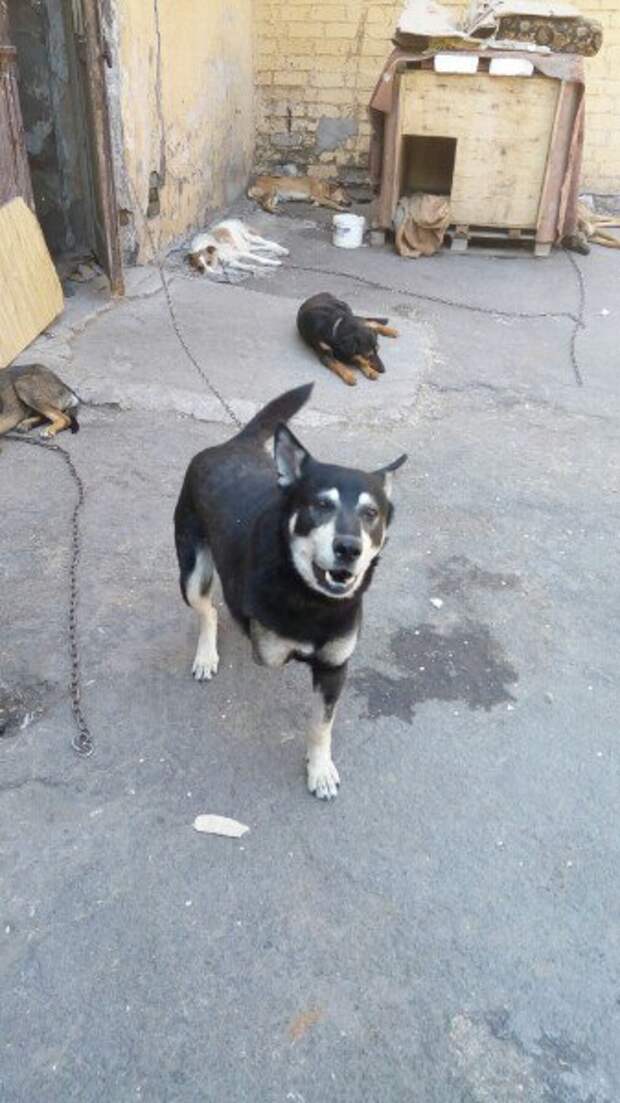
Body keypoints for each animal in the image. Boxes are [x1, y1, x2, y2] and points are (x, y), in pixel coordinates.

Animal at [174, 383, 406, 799]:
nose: (349, 548)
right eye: (321, 504)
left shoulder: (334, 667)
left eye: (371, 514)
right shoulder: (269, 649)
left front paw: (320, 769)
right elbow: (264, 641)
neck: (313, 600)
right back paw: (206, 654)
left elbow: (320, 724)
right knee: (208, 608)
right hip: (190, 571)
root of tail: (232, 444)